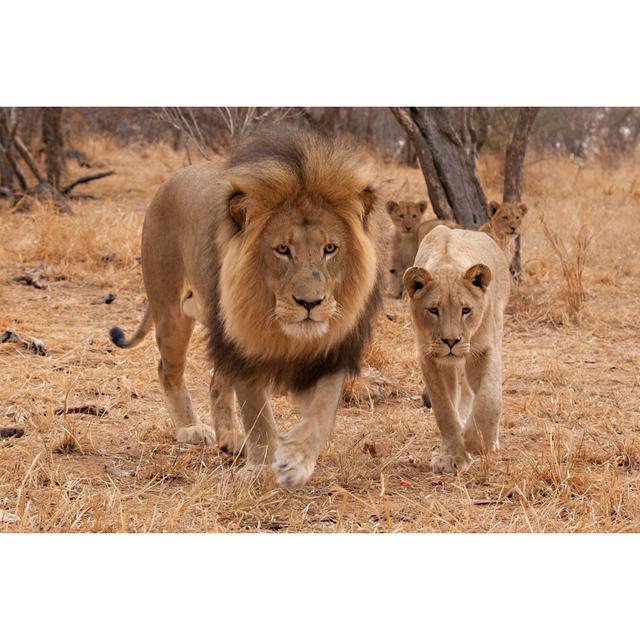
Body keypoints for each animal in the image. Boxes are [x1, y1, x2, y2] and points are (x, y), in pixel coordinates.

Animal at [109, 130, 384, 490]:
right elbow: (258, 412)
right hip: (171, 311)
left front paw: (295, 460)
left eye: (330, 249)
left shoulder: (332, 347)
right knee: (167, 369)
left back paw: (230, 438)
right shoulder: (243, 340)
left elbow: (322, 410)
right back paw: (191, 428)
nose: (310, 303)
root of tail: (170, 180)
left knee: (216, 381)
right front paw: (261, 467)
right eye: (282, 250)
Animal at [404, 228, 510, 472]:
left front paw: (476, 441)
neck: (447, 262)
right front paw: (452, 457)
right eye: (433, 310)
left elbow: (489, 399)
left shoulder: (485, 349)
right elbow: (444, 408)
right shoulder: (429, 357)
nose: (451, 341)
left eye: (466, 310)